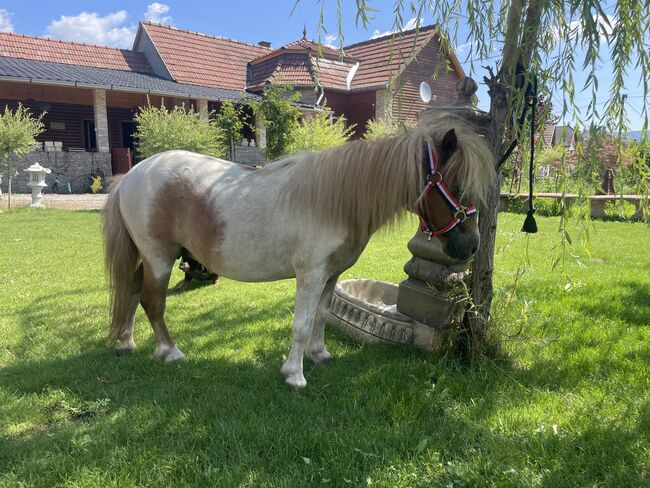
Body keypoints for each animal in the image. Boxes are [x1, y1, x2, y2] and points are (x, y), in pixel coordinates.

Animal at [104, 112, 494, 386]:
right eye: (456, 184)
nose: (470, 246)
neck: (337, 200)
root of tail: (132, 175)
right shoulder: (310, 275)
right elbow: (301, 323)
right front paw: (294, 373)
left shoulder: (332, 275)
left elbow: (321, 315)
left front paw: (319, 354)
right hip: (160, 257)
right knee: (152, 302)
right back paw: (170, 352)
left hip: (148, 258)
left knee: (132, 291)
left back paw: (125, 343)